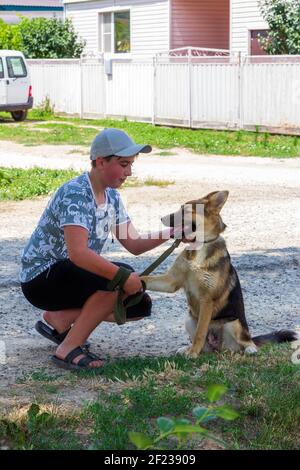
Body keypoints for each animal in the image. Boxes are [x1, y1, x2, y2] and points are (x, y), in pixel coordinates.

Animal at [142, 191, 296, 356]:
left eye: (186, 210)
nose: (161, 218)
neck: (198, 248)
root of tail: (218, 349)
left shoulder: (206, 300)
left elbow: (200, 333)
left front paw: (193, 354)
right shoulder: (170, 282)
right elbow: (146, 278)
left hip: (233, 323)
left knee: (246, 341)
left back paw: (250, 349)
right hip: (189, 319)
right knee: (206, 347)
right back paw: (188, 348)